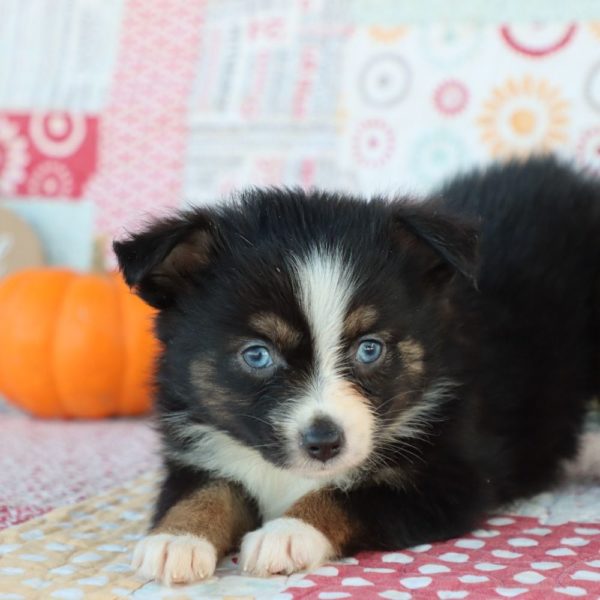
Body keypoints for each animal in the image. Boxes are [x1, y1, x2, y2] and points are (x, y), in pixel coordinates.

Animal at [113, 156, 600, 584]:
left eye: (370, 349)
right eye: (257, 355)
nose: (325, 442)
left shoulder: (452, 477)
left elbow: (350, 495)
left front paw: (287, 533)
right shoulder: (197, 445)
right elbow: (203, 490)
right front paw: (177, 538)